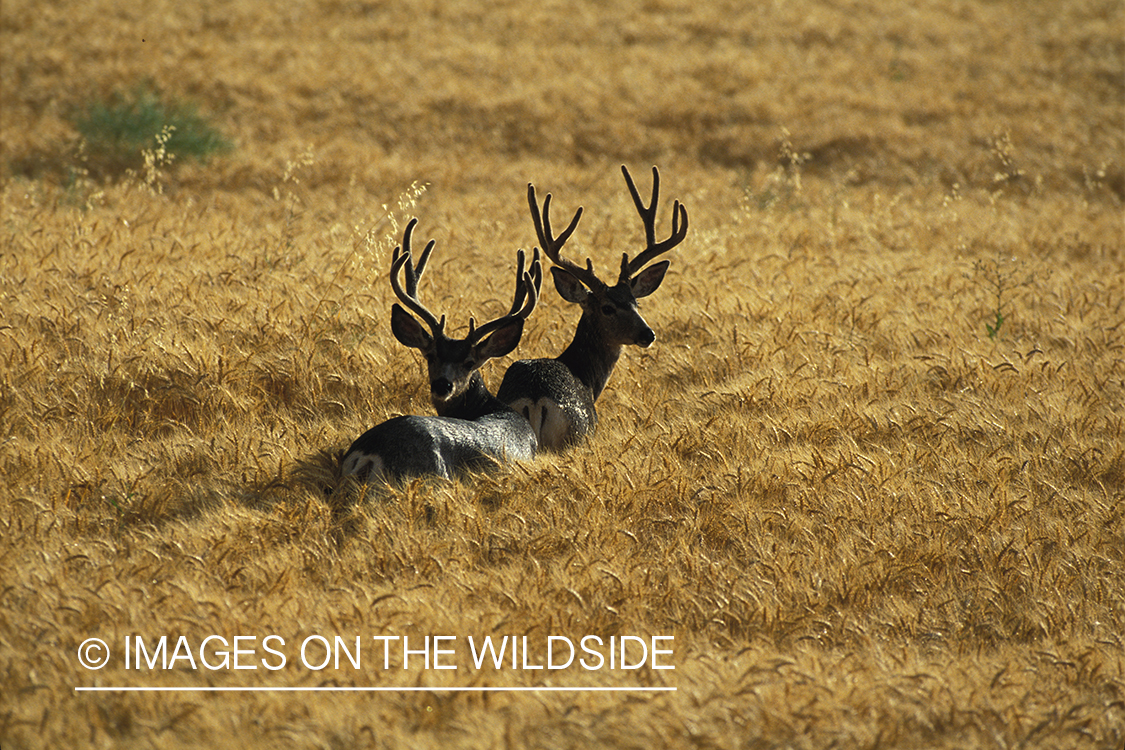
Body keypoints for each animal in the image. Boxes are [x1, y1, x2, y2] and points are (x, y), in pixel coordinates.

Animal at [496, 165, 688, 451]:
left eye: (636, 303)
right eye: (607, 308)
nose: (648, 334)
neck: (586, 378)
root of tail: (535, 400)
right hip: (576, 434)